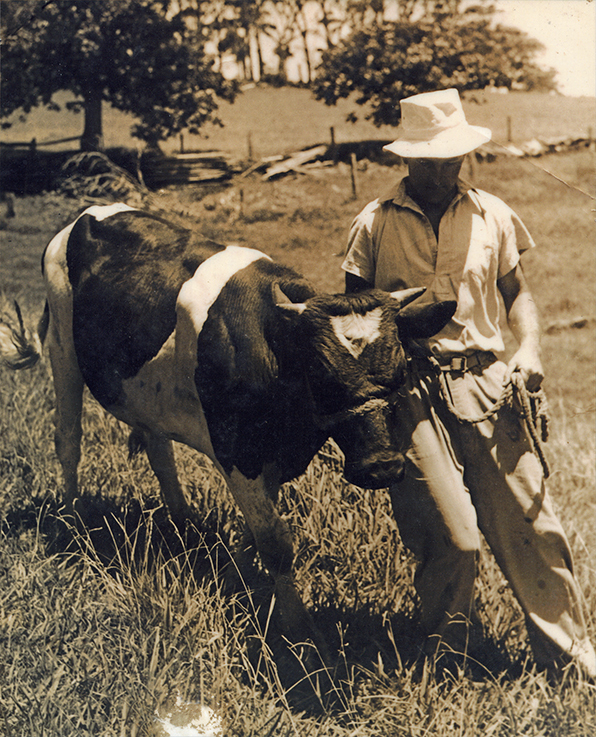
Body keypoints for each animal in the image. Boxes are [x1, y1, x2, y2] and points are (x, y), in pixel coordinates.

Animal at [1, 203, 456, 650]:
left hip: (144, 391)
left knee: (158, 449)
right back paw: (73, 520)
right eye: (323, 375)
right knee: (68, 440)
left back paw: (182, 522)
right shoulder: (238, 452)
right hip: (63, 350)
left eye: (400, 371)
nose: (382, 466)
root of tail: (85, 215)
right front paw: (298, 629)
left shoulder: (269, 454)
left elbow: (258, 532)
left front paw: (237, 575)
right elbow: (275, 543)